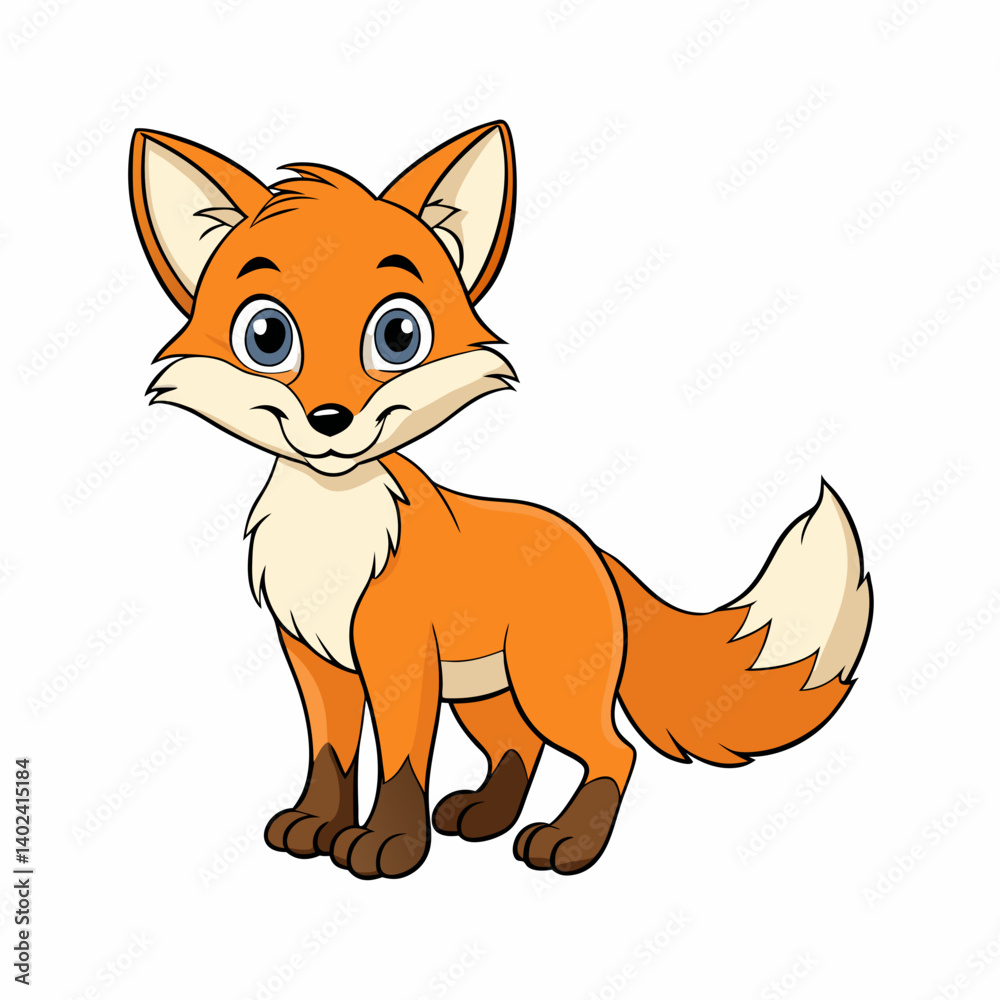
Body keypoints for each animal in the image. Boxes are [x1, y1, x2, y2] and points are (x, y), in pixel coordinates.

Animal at [128, 121, 873, 880]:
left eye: (398, 335)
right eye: (267, 337)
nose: (330, 420)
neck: (331, 534)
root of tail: (592, 549)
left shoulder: (399, 662)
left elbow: (399, 764)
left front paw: (389, 847)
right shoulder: (317, 662)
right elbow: (331, 755)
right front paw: (316, 826)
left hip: (547, 685)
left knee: (611, 752)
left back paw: (569, 844)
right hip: (488, 692)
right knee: (520, 747)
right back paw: (485, 816)